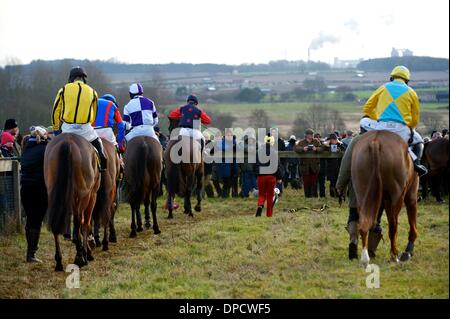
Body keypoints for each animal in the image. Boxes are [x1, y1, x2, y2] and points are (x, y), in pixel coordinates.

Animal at [44, 134, 100, 272]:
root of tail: (67, 142)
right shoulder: (92, 195)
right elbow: (85, 223)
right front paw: (88, 251)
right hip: (82, 195)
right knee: (79, 220)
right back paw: (80, 257)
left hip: (53, 192)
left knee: (56, 221)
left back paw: (59, 261)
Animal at [352, 131, 418, 268]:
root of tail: (375, 142)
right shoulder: (411, 195)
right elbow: (412, 222)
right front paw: (408, 251)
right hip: (397, 196)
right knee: (393, 225)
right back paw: (394, 255)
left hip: (361, 193)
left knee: (363, 224)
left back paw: (365, 258)